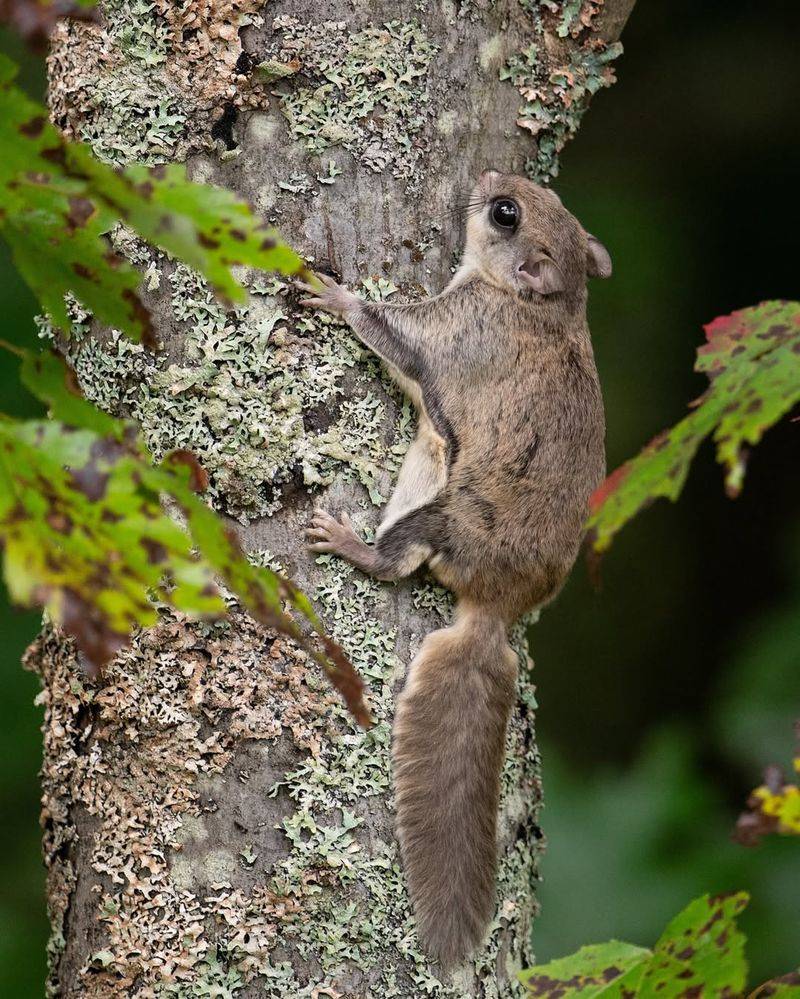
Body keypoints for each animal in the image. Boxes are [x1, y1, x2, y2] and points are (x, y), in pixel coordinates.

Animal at [298, 170, 610, 967]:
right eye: (523, 200)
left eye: (505, 214)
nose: (492, 177)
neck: (540, 306)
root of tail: (495, 609)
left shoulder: (460, 334)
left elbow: (396, 336)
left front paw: (334, 295)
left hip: (442, 514)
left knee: (399, 561)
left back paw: (351, 543)